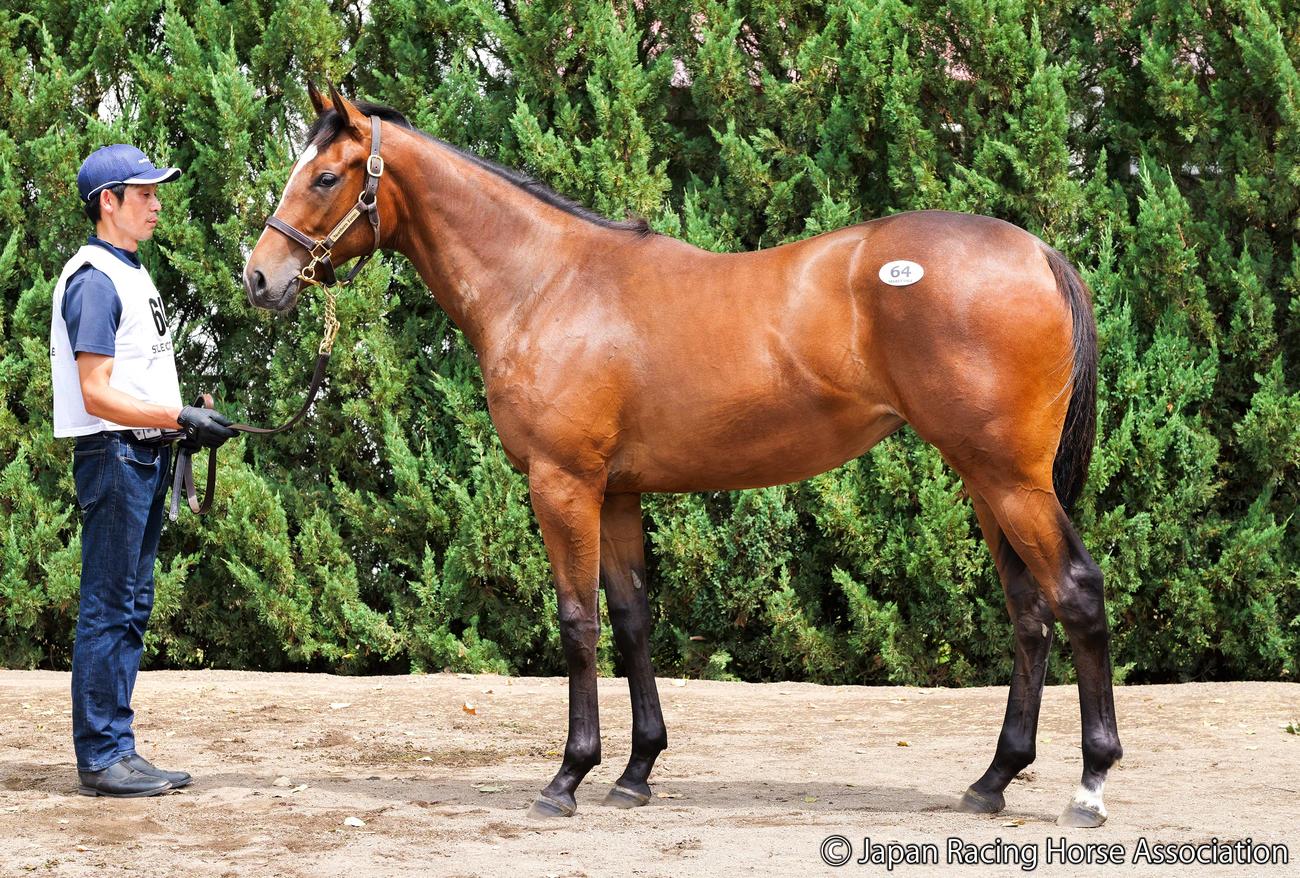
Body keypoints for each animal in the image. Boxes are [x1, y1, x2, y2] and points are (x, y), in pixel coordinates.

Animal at [242, 84, 1121, 828]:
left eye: (325, 176)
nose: (258, 279)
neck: (546, 282)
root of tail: (1038, 252)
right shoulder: (619, 493)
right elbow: (632, 619)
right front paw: (637, 772)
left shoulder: (562, 485)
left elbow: (578, 623)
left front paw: (568, 777)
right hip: (986, 482)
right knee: (1029, 612)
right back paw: (992, 781)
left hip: (1010, 480)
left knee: (1075, 594)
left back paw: (1089, 785)